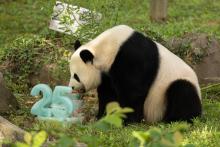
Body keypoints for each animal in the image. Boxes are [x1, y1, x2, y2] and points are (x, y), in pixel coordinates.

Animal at [68, 24, 201, 123]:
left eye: (76, 76)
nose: (71, 87)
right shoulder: (107, 73)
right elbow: (108, 93)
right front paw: (103, 116)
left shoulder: (132, 58)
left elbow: (133, 91)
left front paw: (127, 120)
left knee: (183, 91)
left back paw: (173, 119)